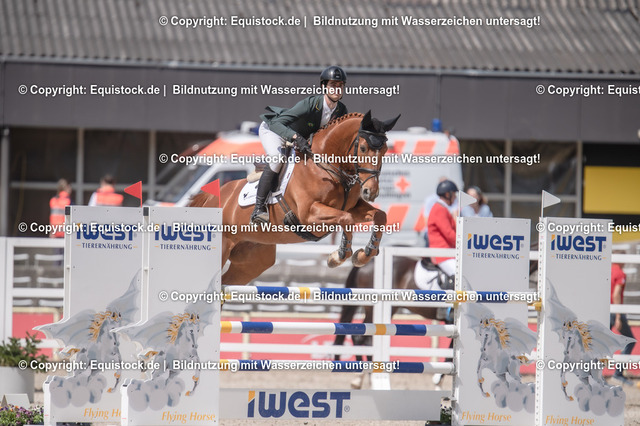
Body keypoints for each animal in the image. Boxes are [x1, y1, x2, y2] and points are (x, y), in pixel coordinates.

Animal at [190, 111, 400, 285]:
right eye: (363, 148)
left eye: (385, 151)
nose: (371, 192)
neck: (327, 166)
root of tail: (209, 200)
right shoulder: (309, 214)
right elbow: (346, 220)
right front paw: (337, 257)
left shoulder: (349, 208)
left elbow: (379, 216)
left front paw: (364, 255)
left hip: (253, 261)